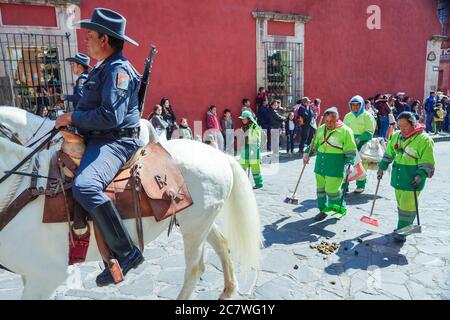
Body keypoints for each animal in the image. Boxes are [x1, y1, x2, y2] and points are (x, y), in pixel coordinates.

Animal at [0, 108, 260, 300]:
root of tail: (219, 155)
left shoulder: (44, 278)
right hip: (197, 221)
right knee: (222, 244)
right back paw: (228, 290)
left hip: (194, 227)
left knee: (195, 268)